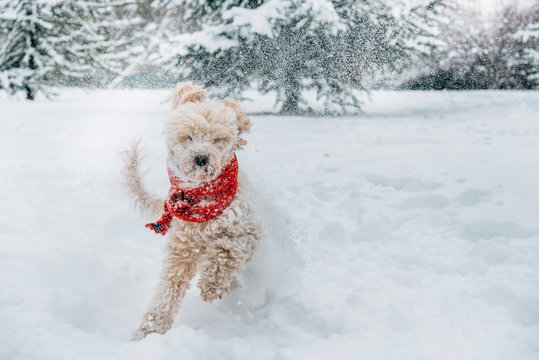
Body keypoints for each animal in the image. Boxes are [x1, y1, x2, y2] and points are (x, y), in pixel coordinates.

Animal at [125, 83, 264, 340]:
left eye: (217, 139)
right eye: (188, 137)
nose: (201, 158)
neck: (202, 200)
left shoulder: (248, 232)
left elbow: (226, 250)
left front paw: (212, 284)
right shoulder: (181, 252)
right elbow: (168, 290)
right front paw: (149, 330)